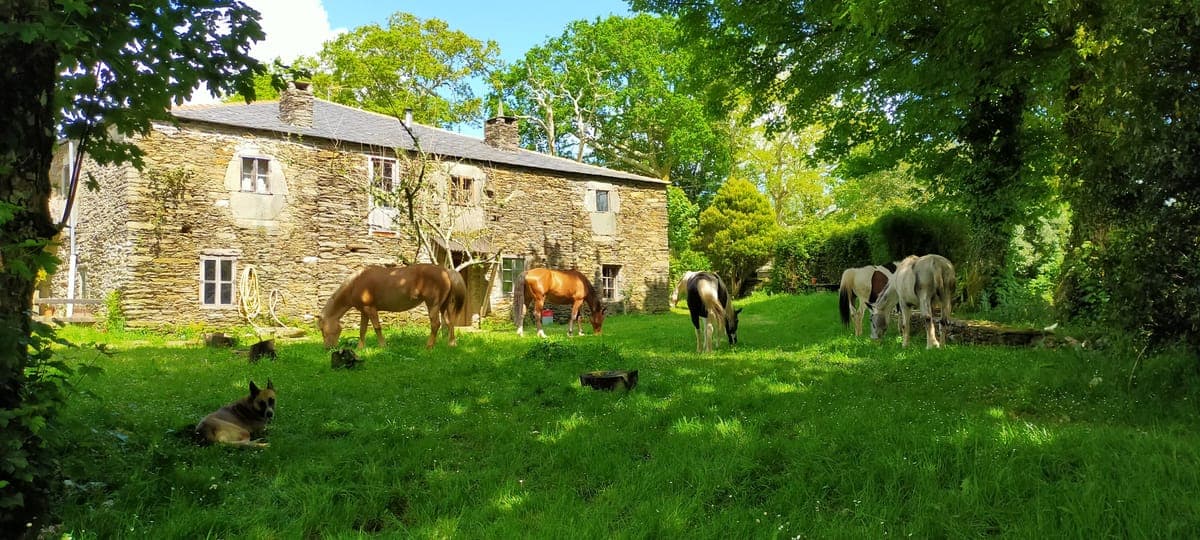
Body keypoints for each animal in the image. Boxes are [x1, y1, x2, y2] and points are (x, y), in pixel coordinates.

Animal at [317, 263, 467, 349]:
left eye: (323, 330)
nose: (328, 348)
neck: (356, 283)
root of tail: (445, 270)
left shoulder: (370, 309)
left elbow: (377, 328)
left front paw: (383, 346)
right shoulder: (364, 312)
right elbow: (362, 330)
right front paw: (360, 348)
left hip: (433, 305)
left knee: (436, 324)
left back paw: (429, 346)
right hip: (443, 306)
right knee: (449, 322)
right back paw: (451, 344)